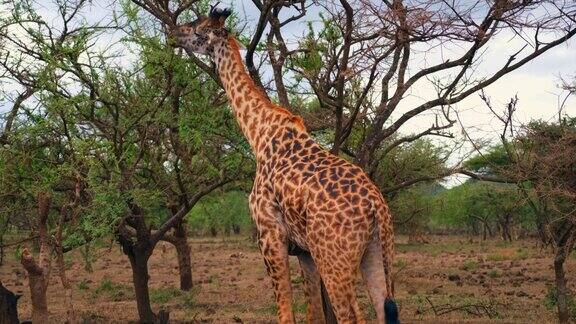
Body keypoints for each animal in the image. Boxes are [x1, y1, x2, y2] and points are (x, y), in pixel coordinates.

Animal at [169, 7, 398, 324]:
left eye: (196, 27)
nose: (173, 33)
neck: (258, 133)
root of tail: (377, 207)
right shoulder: (304, 252)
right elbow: (314, 314)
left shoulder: (270, 236)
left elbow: (286, 312)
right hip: (376, 251)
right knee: (381, 308)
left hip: (334, 260)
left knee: (352, 316)